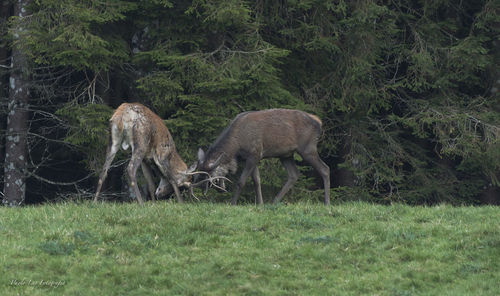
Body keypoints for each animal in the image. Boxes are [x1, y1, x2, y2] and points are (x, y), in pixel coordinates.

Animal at [193, 108, 330, 206]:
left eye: (211, 177)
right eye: (200, 176)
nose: (220, 190)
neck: (236, 146)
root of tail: (319, 122)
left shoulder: (254, 154)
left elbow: (241, 181)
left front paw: (232, 203)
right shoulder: (253, 157)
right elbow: (257, 181)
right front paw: (260, 203)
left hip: (307, 149)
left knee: (325, 169)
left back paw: (327, 203)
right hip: (285, 154)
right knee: (294, 174)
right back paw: (274, 202)